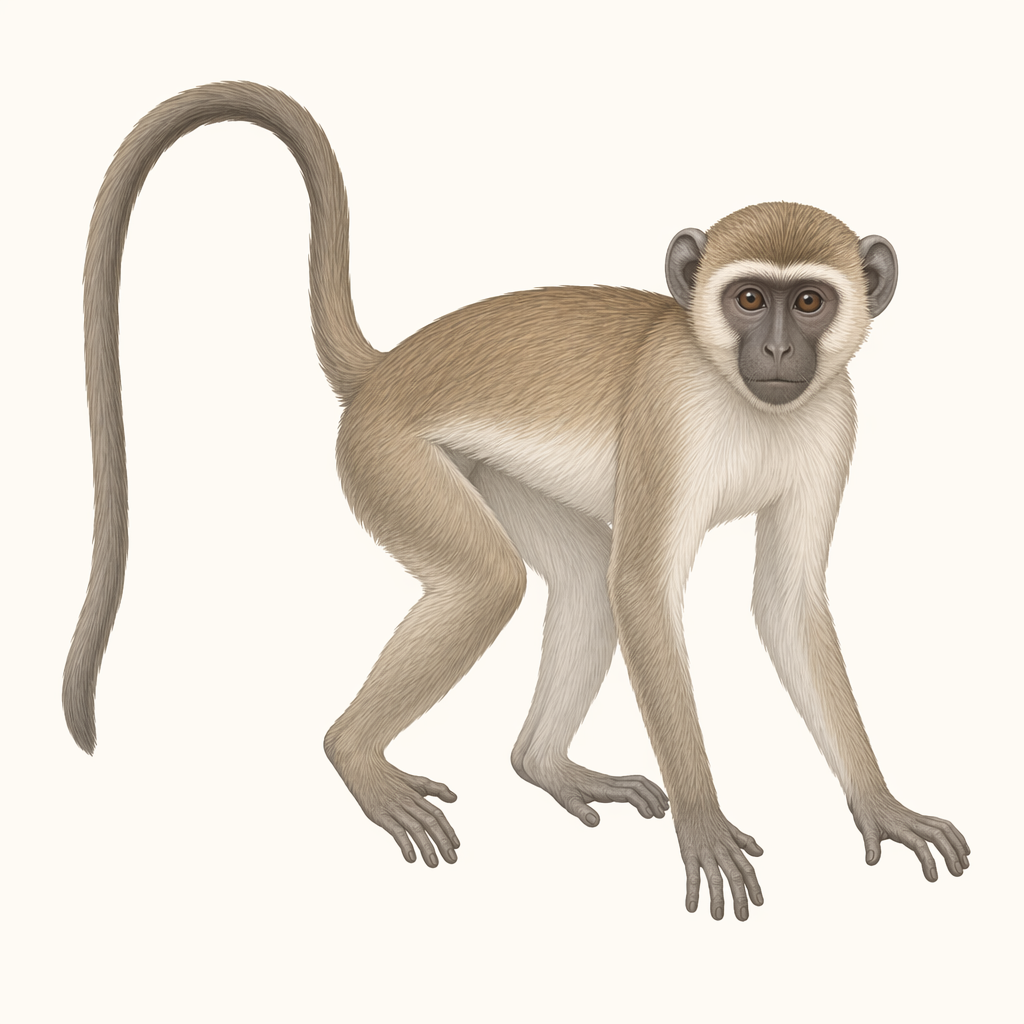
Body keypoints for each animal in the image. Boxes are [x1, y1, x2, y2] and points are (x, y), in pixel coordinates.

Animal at [64, 82, 969, 921]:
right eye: (750, 298)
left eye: (808, 301)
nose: (778, 350)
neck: (737, 392)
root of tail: (386, 370)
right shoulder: (669, 411)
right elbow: (643, 589)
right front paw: (705, 825)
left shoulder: (835, 419)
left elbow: (783, 602)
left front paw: (880, 803)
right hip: (387, 457)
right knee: (491, 581)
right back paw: (356, 753)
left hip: (483, 471)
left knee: (579, 577)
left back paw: (545, 764)